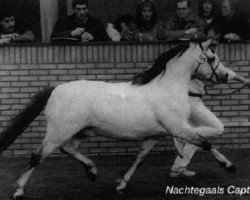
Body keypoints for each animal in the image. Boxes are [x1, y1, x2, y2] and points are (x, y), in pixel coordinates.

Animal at [0, 39, 223, 198]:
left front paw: (122, 184)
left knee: (68, 148)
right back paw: (19, 190)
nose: (223, 76)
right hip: (58, 132)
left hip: (82, 131)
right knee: (38, 156)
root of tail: (56, 89)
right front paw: (227, 165)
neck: (166, 89)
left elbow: (140, 159)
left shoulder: (155, 135)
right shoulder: (179, 128)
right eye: (212, 58)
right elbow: (205, 142)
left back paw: (92, 171)